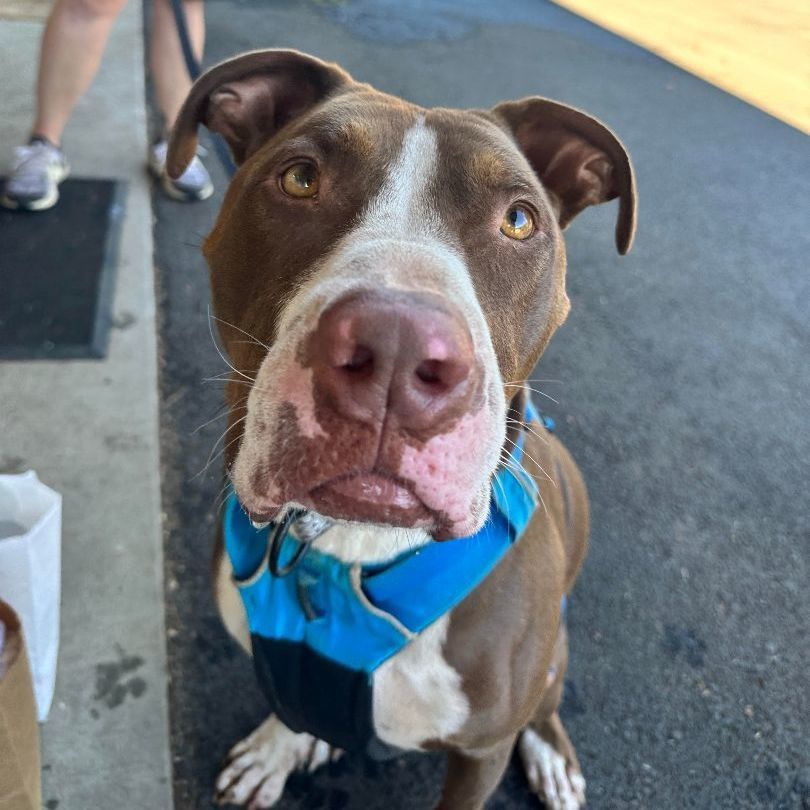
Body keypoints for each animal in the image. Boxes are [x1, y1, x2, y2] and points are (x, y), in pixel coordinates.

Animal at [167, 49, 636, 808]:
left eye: (519, 220)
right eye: (300, 177)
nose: (396, 346)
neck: (348, 550)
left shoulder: (480, 751)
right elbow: (291, 708)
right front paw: (278, 745)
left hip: (551, 663)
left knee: (547, 700)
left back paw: (552, 753)